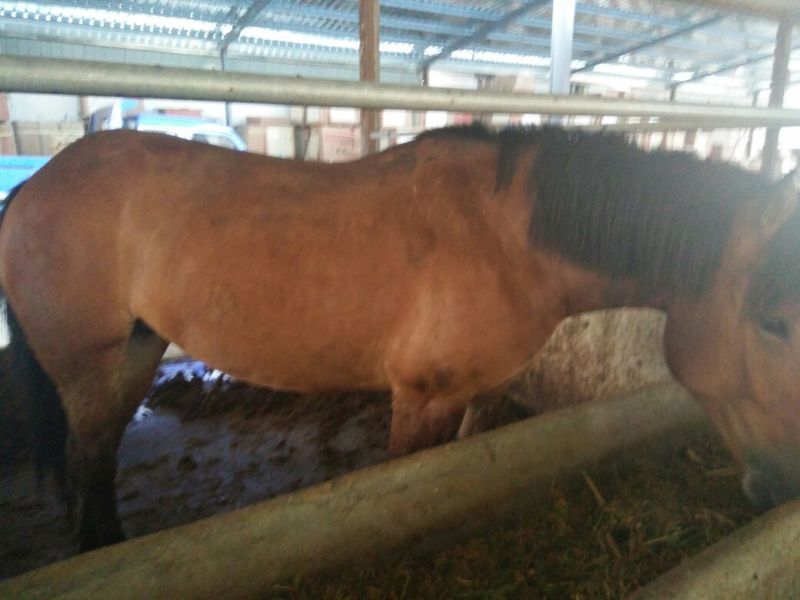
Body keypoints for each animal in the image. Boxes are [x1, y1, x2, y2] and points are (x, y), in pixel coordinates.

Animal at [0, 124, 798, 552]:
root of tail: (34, 184)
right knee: (89, 458)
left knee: (99, 459)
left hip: (137, 353)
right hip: (89, 366)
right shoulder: (421, 400)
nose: (785, 491)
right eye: (776, 321)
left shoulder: (483, 395)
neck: (508, 242)